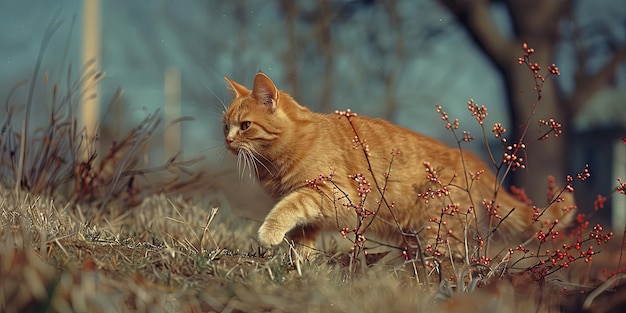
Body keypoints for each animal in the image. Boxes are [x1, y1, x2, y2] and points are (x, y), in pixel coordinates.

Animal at [222, 72, 572, 258]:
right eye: (225, 126)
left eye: (244, 126)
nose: (227, 140)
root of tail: (474, 160)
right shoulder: (312, 221)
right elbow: (301, 243)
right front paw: (298, 268)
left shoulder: (328, 192)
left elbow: (287, 206)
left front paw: (268, 234)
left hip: (437, 233)